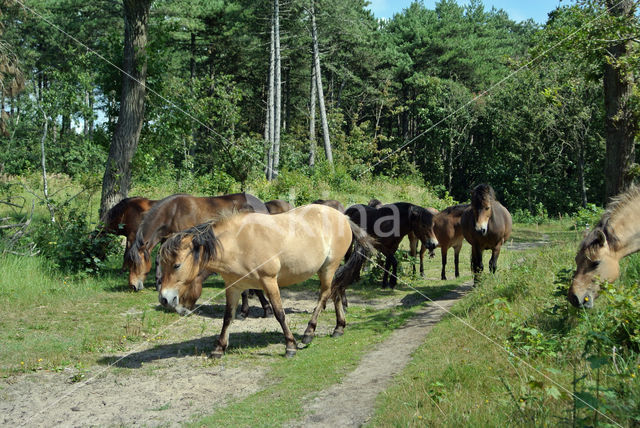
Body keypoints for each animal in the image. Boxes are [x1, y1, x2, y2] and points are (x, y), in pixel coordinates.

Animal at [156, 204, 376, 358]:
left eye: (176, 265)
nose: (165, 299)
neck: (238, 242)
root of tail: (343, 217)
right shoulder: (233, 287)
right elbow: (228, 317)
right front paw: (219, 348)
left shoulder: (269, 281)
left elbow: (279, 314)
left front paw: (290, 346)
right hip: (330, 269)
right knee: (336, 291)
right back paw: (339, 328)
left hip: (329, 267)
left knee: (324, 295)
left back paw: (308, 333)